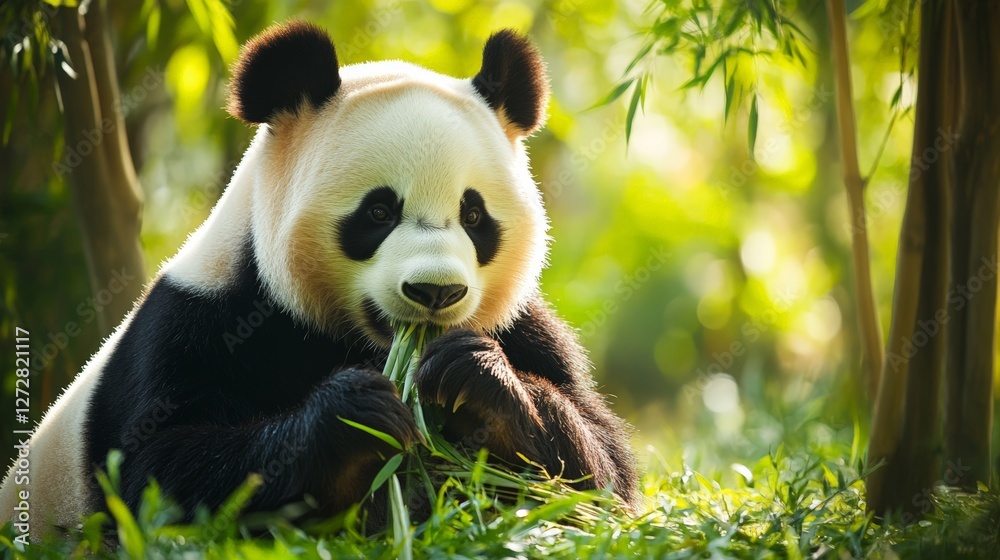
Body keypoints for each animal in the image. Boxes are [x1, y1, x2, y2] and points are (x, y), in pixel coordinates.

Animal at [0, 21, 638, 535]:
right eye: (378, 212)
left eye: (475, 216)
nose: (435, 292)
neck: (355, 339)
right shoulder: (195, 322)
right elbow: (159, 472)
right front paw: (354, 412)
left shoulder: (524, 328)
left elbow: (600, 470)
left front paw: (474, 377)